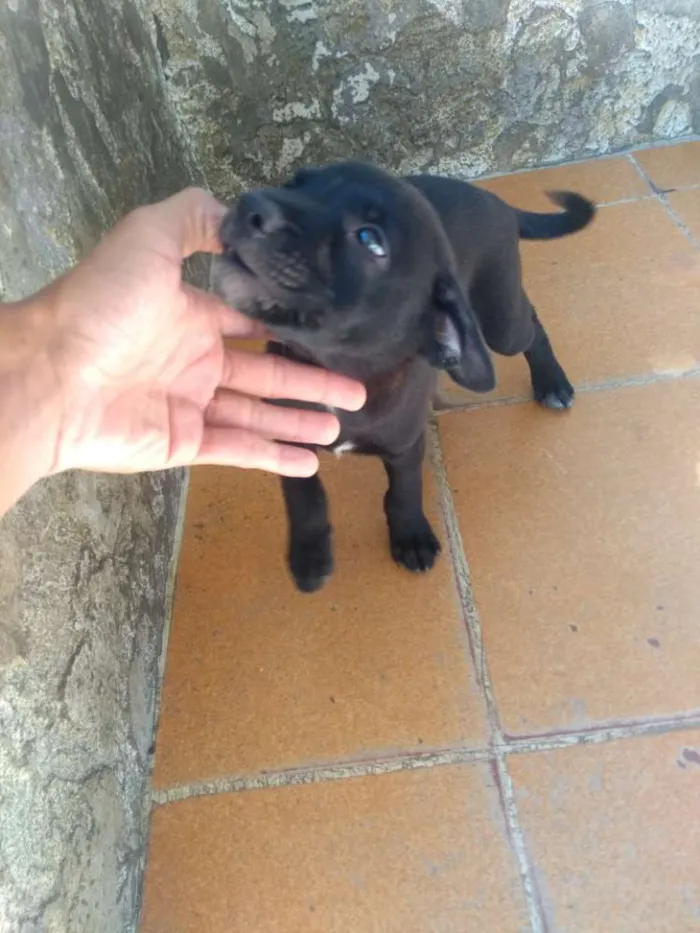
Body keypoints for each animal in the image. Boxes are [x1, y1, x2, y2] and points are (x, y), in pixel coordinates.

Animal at [211, 162, 592, 588]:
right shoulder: (291, 433)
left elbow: (404, 492)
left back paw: (552, 382)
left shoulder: (406, 445)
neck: (340, 367)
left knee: (531, 326)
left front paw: (411, 536)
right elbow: (303, 493)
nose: (251, 205)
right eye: (296, 182)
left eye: (369, 239)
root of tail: (495, 200)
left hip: (500, 319)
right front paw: (310, 554)